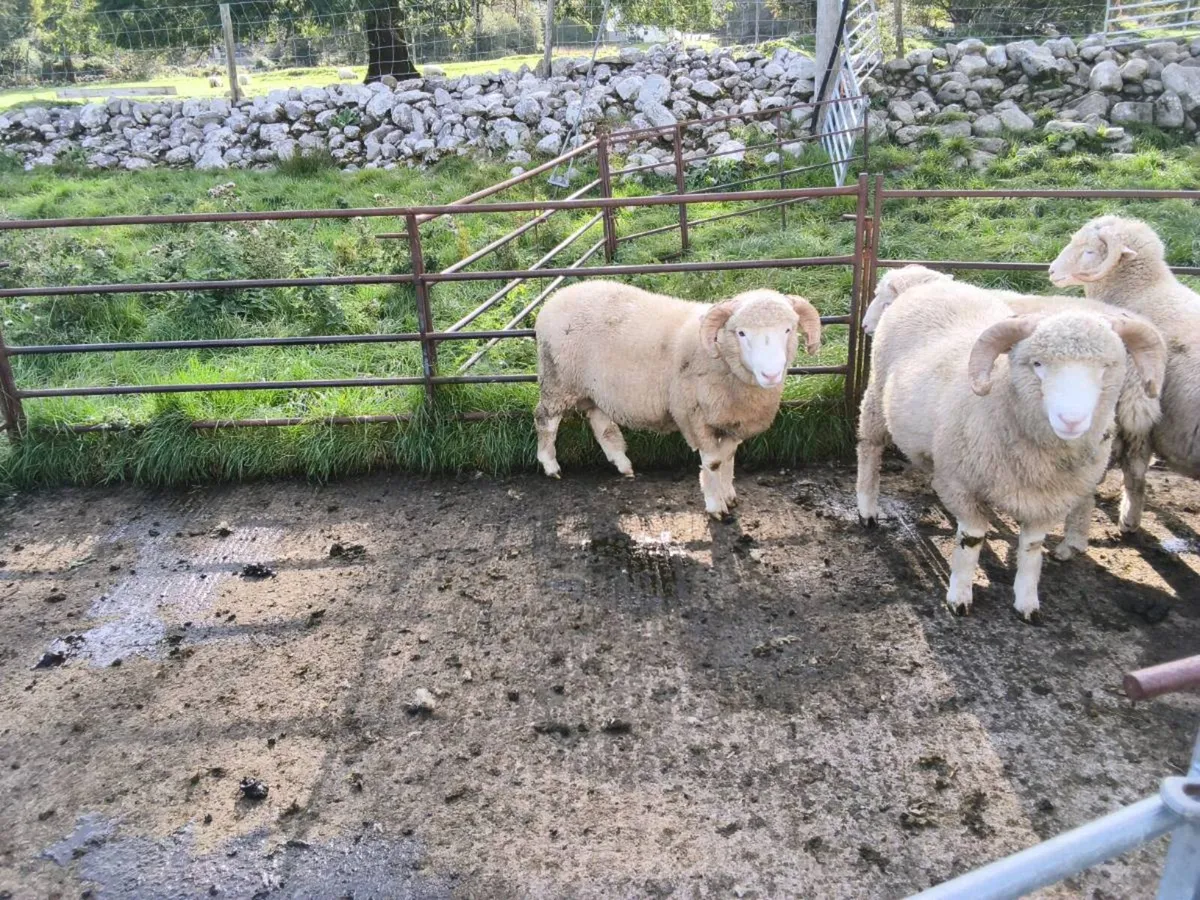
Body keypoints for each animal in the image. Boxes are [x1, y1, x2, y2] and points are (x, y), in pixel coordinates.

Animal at [534, 280, 823, 519]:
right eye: (741, 333)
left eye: (788, 329)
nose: (771, 374)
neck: (721, 360)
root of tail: (552, 301)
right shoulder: (696, 416)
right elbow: (713, 462)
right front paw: (716, 506)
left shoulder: (731, 418)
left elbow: (728, 457)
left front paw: (728, 494)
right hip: (558, 379)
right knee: (545, 419)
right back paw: (550, 465)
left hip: (593, 388)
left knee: (600, 422)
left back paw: (622, 463)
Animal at [856, 277, 1165, 621]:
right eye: (1038, 364)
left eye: (1108, 366)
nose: (1071, 419)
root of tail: (931, 284)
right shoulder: (963, 485)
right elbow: (971, 540)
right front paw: (959, 596)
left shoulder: (1048, 501)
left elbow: (1031, 547)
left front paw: (1027, 601)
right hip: (876, 395)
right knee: (870, 448)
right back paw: (867, 507)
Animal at [1050, 215, 1200, 535]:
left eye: (1089, 251)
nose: (1052, 270)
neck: (1141, 290)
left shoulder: (1138, 415)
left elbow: (1133, 470)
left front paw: (1128, 517)